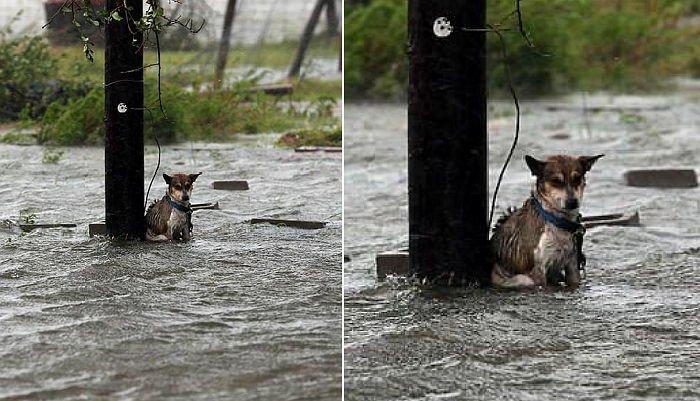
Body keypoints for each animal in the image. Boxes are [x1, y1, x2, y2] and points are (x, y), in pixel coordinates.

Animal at [490, 153, 604, 288]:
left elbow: (574, 281)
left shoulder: (572, 265)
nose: (572, 202)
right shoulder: (538, 271)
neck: (556, 220)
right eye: (556, 181)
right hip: (522, 279)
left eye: (577, 178)